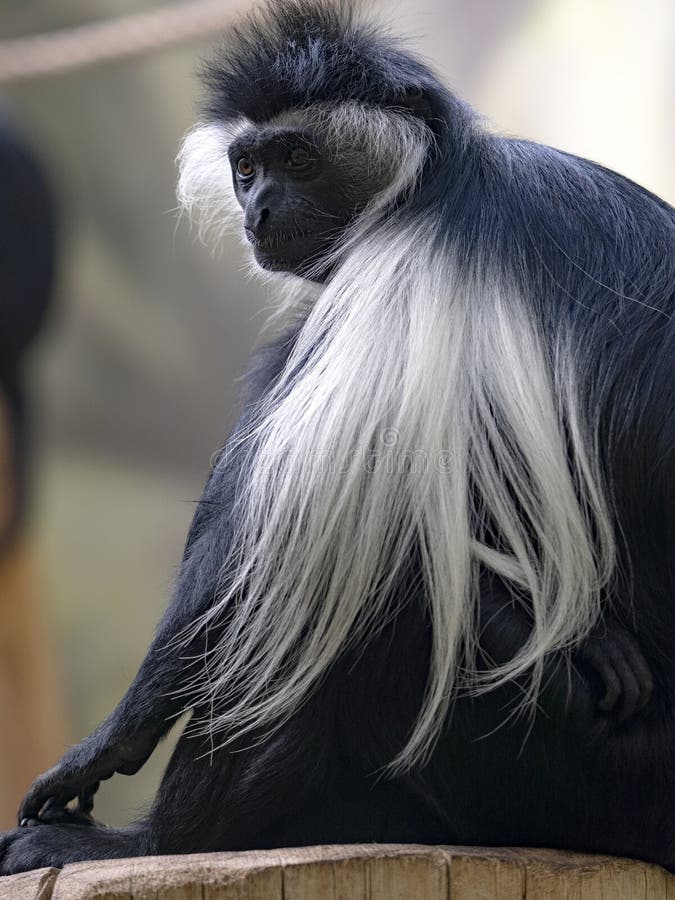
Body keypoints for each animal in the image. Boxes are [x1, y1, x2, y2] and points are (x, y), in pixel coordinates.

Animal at [1, 0, 675, 876]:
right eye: (247, 167)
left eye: (297, 156)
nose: (256, 211)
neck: (435, 174)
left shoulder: (398, 272)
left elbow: (271, 538)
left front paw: (105, 748)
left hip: (570, 754)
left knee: (355, 590)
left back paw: (150, 841)